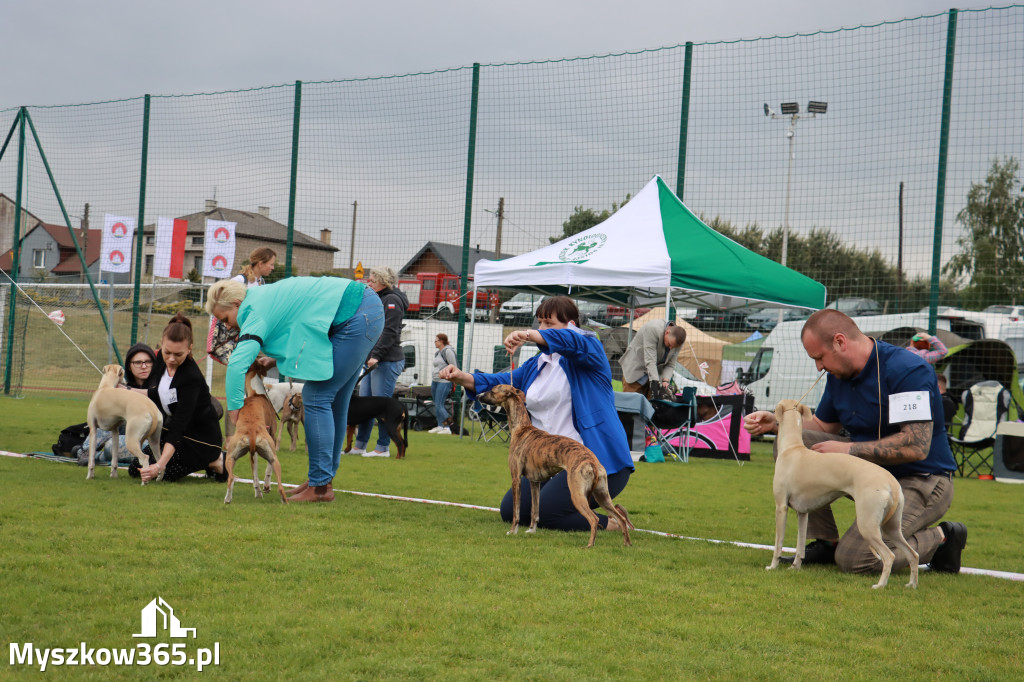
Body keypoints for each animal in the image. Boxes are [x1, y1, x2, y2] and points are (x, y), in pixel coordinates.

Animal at [224, 364, 286, 501]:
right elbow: (267, 469)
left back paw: (228, 499)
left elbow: (255, 474)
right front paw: (266, 486)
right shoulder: (273, 437)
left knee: (231, 478)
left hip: (231, 457)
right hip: (274, 456)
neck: (256, 393)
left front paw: (258, 492)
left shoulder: (253, 453)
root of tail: (251, 431)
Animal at [477, 382, 630, 548]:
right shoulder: (534, 482)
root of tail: (592, 462)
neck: (521, 427)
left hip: (577, 494)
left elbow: (516, 512)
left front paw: (512, 531)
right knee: (620, 518)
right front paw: (531, 531)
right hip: (602, 495)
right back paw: (626, 544)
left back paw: (589, 545)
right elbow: (535, 511)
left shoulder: (516, 478)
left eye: (492, 391)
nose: (478, 395)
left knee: (593, 519)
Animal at [770, 399, 921, 585]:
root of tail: (891, 481)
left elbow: (778, 543)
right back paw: (911, 585)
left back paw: (880, 585)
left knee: (889, 556)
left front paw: (773, 566)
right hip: (891, 528)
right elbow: (800, 546)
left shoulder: (781, 507)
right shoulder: (803, 513)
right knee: (913, 554)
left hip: (867, 525)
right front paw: (795, 567)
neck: (792, 448)